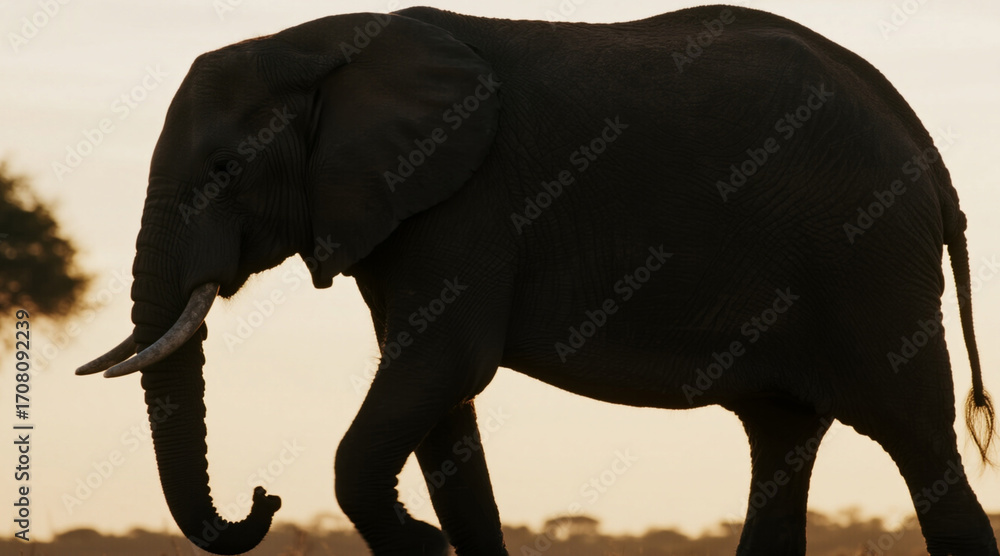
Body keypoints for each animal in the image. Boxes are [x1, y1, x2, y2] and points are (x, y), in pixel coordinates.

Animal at [77, 4, 998, 556]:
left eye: (225, 168)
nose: (262, 497)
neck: (327, 44)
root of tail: (923, 143)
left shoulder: (463, 201)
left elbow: (440, 368)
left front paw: (420, 542)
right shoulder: (405, 210)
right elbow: (441, 405)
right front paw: (441, 541)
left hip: (869, 257)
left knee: (918, 440)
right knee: (781, 438)